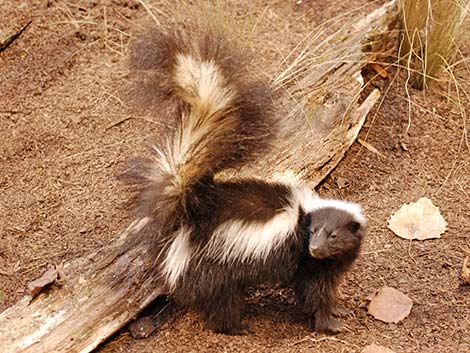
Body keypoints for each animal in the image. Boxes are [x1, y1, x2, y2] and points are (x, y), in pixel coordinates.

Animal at [126, 28, 366, 334]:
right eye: (312, 232)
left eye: (333, 236)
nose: (314, 248)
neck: (303, 214)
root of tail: (191, 213)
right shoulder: (306, 264)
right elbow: (314, 292)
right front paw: (330, 323)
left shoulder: (326, 262)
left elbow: (327, 286)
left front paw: (339, 309)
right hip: (215, 267)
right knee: (221, 300)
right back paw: (237, 326)